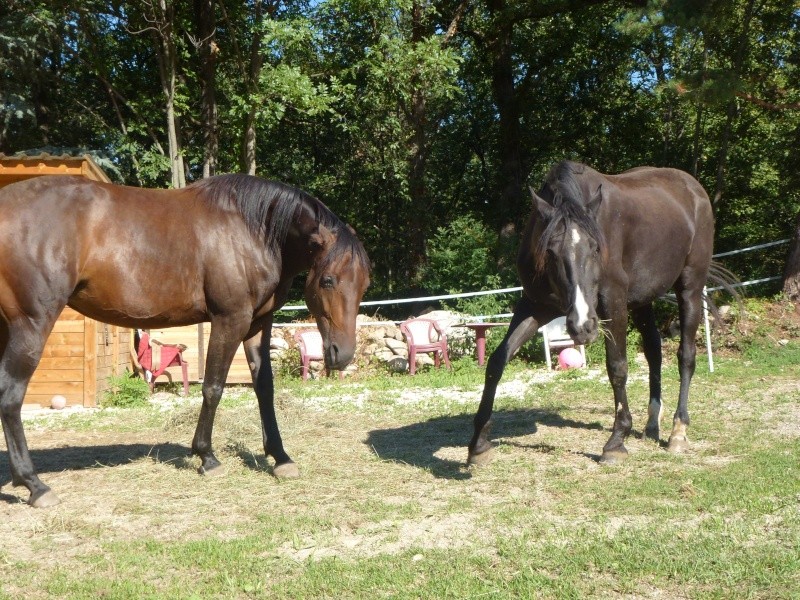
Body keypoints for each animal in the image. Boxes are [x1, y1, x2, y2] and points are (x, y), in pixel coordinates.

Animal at [0, 173, 372, 506]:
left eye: (364, 284)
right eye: (327, 280)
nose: (342, 354)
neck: (251, 230)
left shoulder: (257, 324)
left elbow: (264, 387)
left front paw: (280, 456)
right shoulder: (230, 319)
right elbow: (213, 388)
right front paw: (207, 457)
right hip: (31, 324)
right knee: (11, 396)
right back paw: (35, 485)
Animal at [468, 162, 724, 466]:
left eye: (596, 247)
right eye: (551, 252)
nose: (583, 326)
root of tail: (694, 189)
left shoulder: (614, 305)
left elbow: (617, 367)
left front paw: (616, 441)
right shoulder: (533, 307)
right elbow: (497, 362)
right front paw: (478, 444)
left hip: (690, 289)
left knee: (686, 356)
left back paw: (678, 432)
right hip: (643, 300)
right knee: (654, 352)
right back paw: (652, 425)